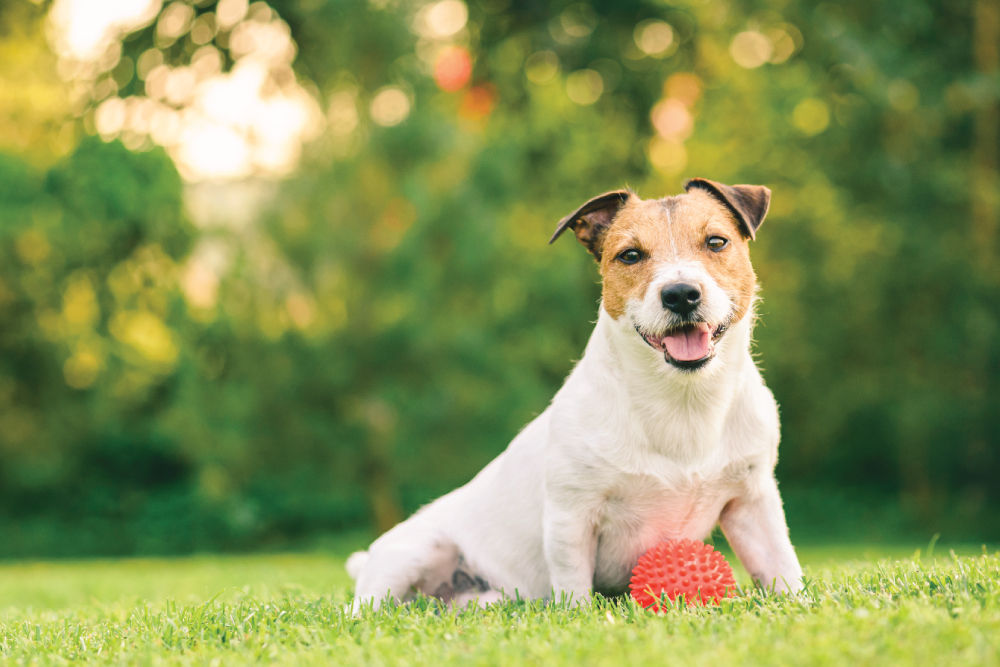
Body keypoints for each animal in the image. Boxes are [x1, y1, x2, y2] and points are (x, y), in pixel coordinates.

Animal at [350, 177, 804, 612]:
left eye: (716, 242)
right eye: (630, 255)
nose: (680, 294)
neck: (681, 401)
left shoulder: (753, 502)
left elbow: (782, 564)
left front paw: (800, 603)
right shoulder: (572, 514)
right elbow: (573, 586)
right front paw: (580, 615)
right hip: (415, 552)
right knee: (365, 607)